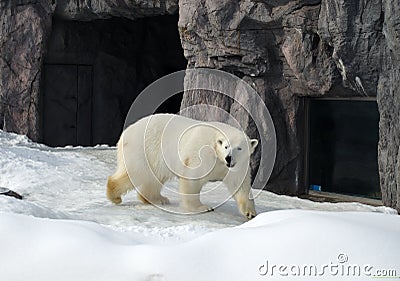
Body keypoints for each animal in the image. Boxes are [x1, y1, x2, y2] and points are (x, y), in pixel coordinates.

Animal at [105, 112, 260, 218]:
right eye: (226, 146)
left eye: (239, 148)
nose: (229, 158)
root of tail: (125, 133)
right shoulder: (203, 153)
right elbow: (192, 178)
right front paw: (201, 207)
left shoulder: (237, 165)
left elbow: (239, 184)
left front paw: (250, 213)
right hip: (144, 149)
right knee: (136, 172)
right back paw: (115, 195)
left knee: (153, 178)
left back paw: (158, 199)